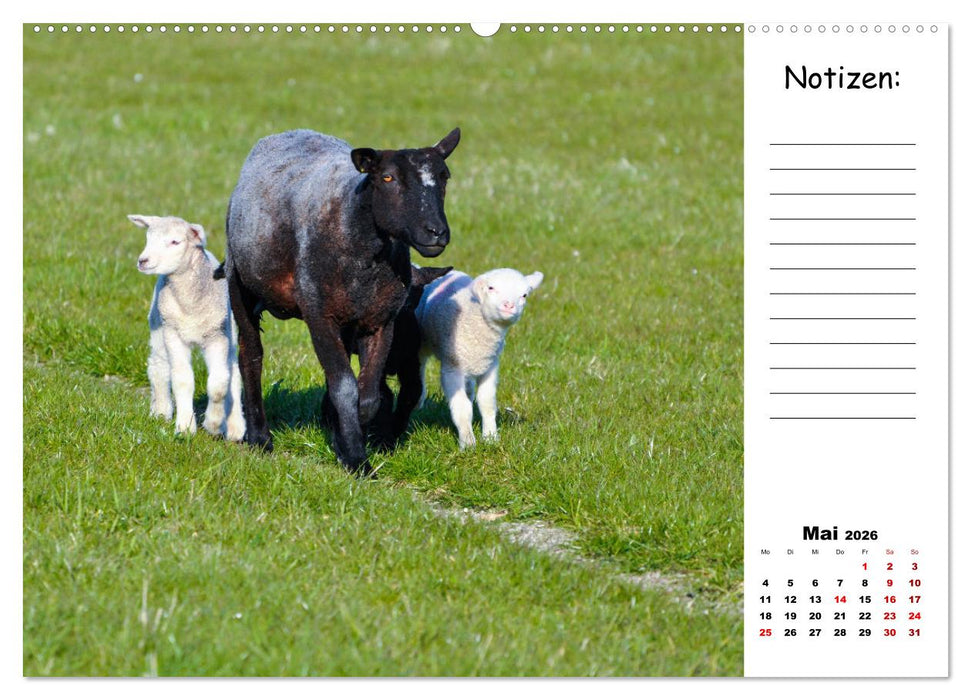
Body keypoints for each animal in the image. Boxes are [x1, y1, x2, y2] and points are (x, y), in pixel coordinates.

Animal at [130, 214, 245, 442]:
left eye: (175, 242)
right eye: (148, 237)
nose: (143, 261)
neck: (190, 303)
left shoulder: (217, 336)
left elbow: (219, 384)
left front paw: (214, 424)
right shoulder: (173, 334)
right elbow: (182, 380)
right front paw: (184, 427)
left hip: (230, 333)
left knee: (234, 374)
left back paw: (236, 427)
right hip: (158, 326)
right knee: (158, 366)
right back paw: (161, 411)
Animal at [225, 128, 461, 475]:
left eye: (444, 177)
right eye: (387, 178)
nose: (436, 232)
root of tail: (286, 133)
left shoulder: (381, 321)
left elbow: (368, 394)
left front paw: (350, 433)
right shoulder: (319, 314)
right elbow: (345, 387)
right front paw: (355, 458)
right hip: (240, 282)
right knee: (250, 356)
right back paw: (259, 437)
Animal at [416, 267, 543, 448]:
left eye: (524, 295)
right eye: (491, 288)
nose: (509, 305)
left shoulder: (490, 366)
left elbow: (487, 403)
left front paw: (490, 437)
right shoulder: (452, 368)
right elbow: (462, 408)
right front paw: (468, 442)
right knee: (419, 365)